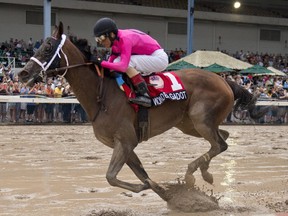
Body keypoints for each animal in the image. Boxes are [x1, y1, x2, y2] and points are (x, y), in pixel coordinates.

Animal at [18, 22, 264, 201]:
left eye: (47, 48)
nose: (22, 73)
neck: (102, 94)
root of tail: (225, 80)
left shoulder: (126, 140)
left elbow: (111, 176)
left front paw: (152, 188)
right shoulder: (120, 143)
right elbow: (139, 173)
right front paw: (161, 191)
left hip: (200, 119)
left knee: (220, 144)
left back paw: (193, 173)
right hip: (188, 124)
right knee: (222, 138)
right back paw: (204, 171)